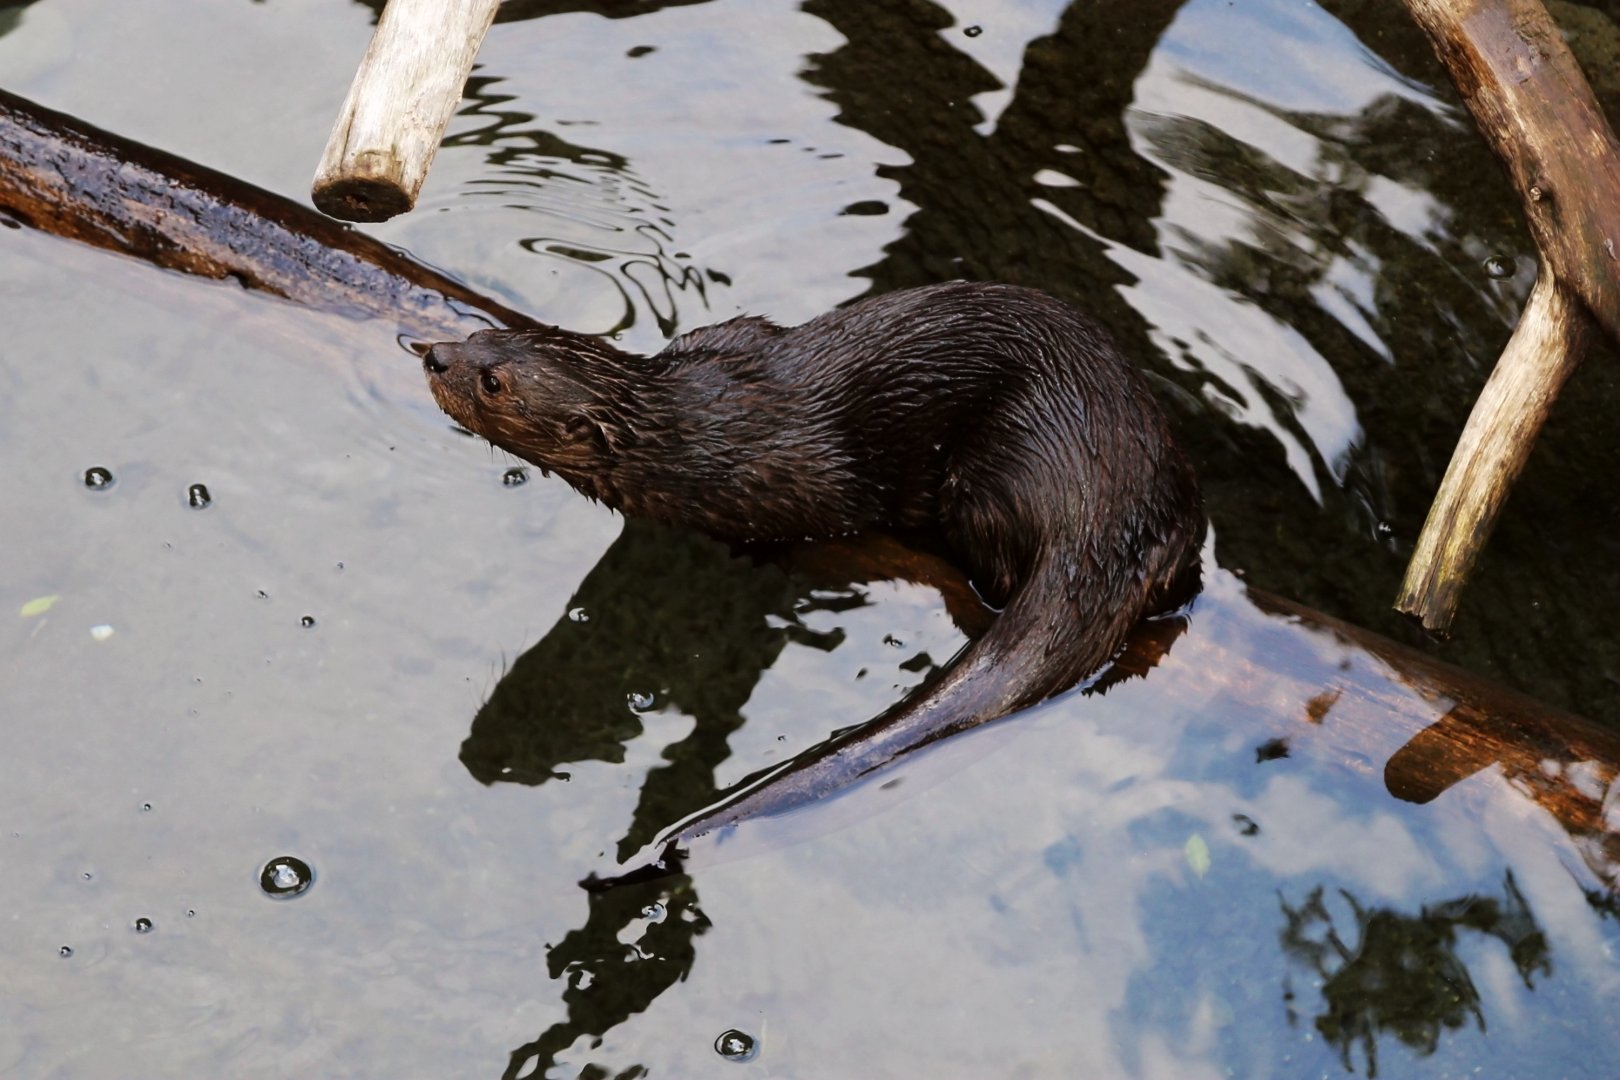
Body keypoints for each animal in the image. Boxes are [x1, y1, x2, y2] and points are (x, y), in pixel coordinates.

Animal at [424, 281, 1202, 863]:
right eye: (480, 339)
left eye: (492, 381)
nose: (433, 354)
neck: (700, 429)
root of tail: (1103, 516)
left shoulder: (798, 479)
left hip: (998, 478)